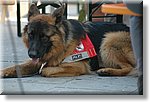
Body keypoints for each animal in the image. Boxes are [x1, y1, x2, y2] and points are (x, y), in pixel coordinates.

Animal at [0, 3, 136, 77]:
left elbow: (45, 70)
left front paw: (44, 70)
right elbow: (17, 66)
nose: (32, 54)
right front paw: (4, 71)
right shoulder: (35, 61)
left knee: (130, 68)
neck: (61, 44)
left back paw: (107, 71)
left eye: (44, 36)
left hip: (109, 39)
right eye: (31, 35)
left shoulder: (79, 65)